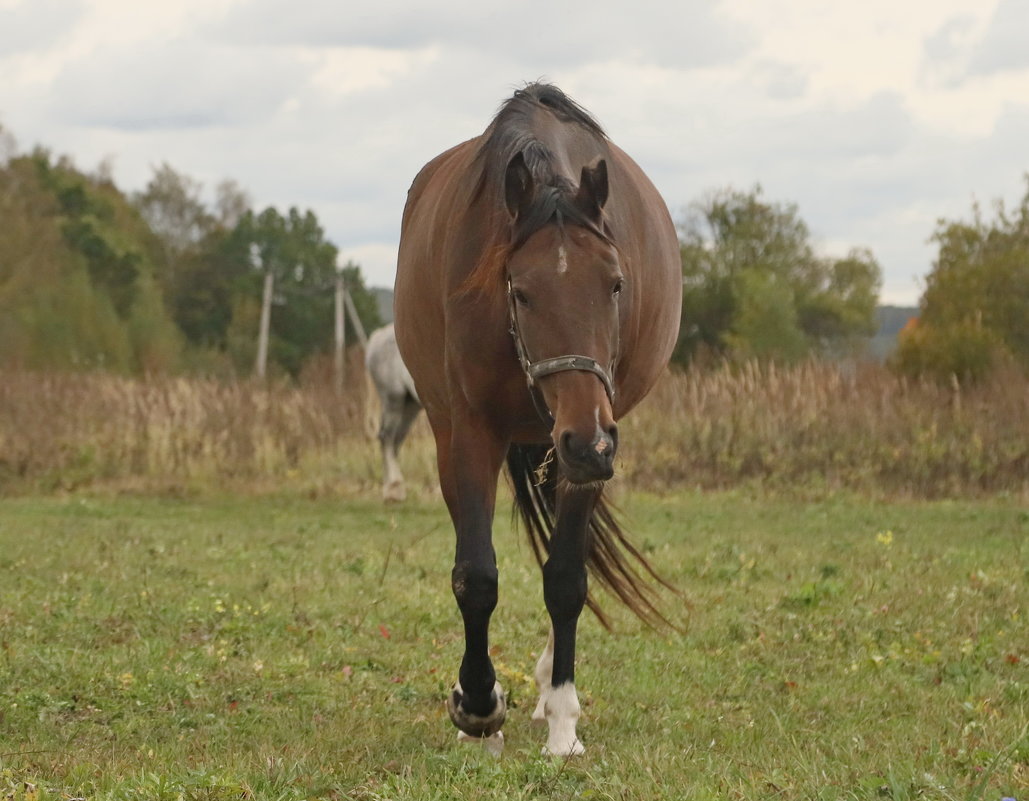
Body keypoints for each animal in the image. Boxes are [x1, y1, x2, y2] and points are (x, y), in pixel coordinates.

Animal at [366, 319, 421, 498]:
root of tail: (377, 336)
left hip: (410, 406)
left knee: (395, 440)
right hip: (393, 401)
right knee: (387, 437)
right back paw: (393, 488)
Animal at [395, 84, 683, 753]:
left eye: (616, 285)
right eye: (521, 291)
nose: (588, 442)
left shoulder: (588, 449)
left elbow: (567, 579)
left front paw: (562, 720)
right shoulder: (471, 433)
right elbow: (476, 575)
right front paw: (478, 707)